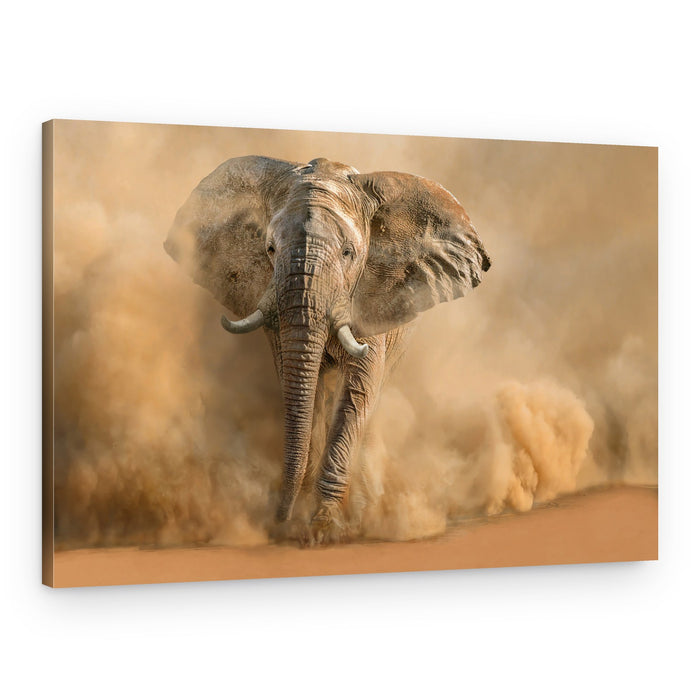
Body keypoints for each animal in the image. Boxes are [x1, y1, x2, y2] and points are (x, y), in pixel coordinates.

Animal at [164, 156, 490, 544]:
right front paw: (303, 523)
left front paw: (322, 528)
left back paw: (365, 514)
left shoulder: (367, 296)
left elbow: (357, 393)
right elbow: (309, 388)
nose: (278, 520)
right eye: (270, 249)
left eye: (349, 253)